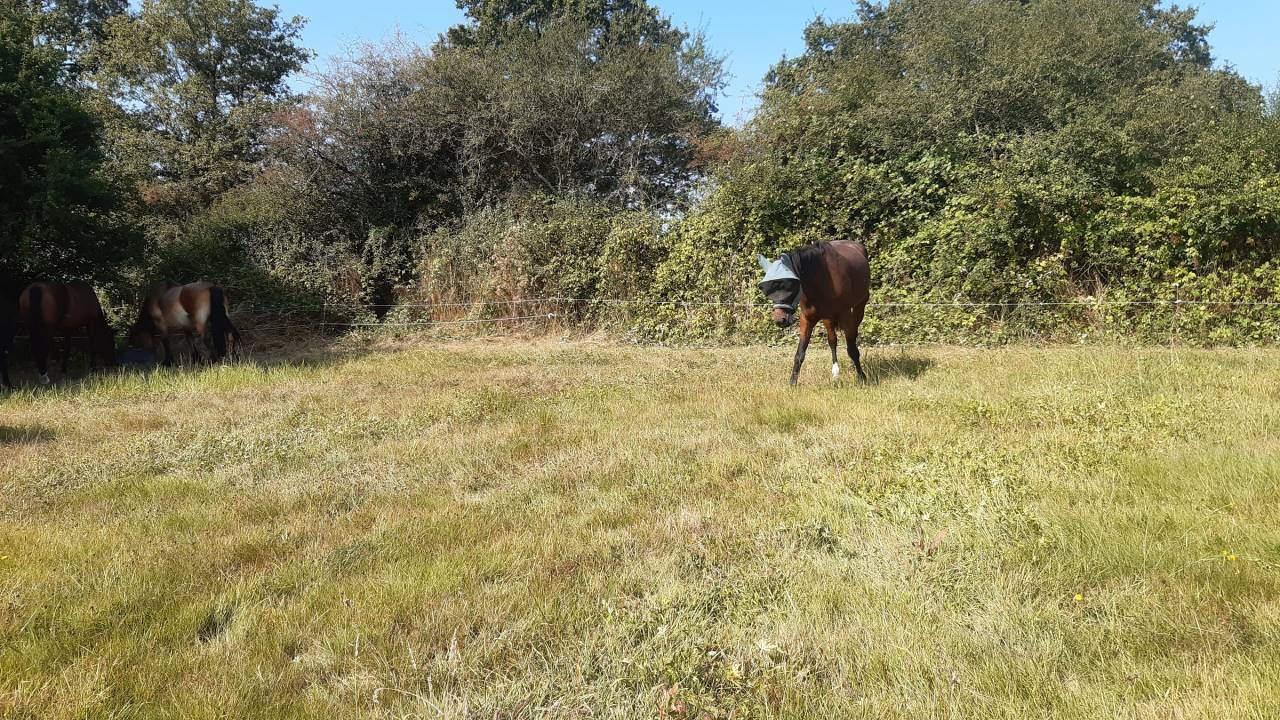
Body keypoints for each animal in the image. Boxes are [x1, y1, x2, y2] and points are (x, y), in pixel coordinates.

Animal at [757, 240, 871, 386]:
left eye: (790, 285)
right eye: (765, 289)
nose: (780, 319)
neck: (825, 278)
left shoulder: (845, 315)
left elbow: (852, 349)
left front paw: (862, 377)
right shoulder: (807, 319)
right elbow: (800, 353)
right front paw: (792, 383)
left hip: (858, 308)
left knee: (852, 336)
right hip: (828, 317)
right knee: (832, 340)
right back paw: (836, 371)